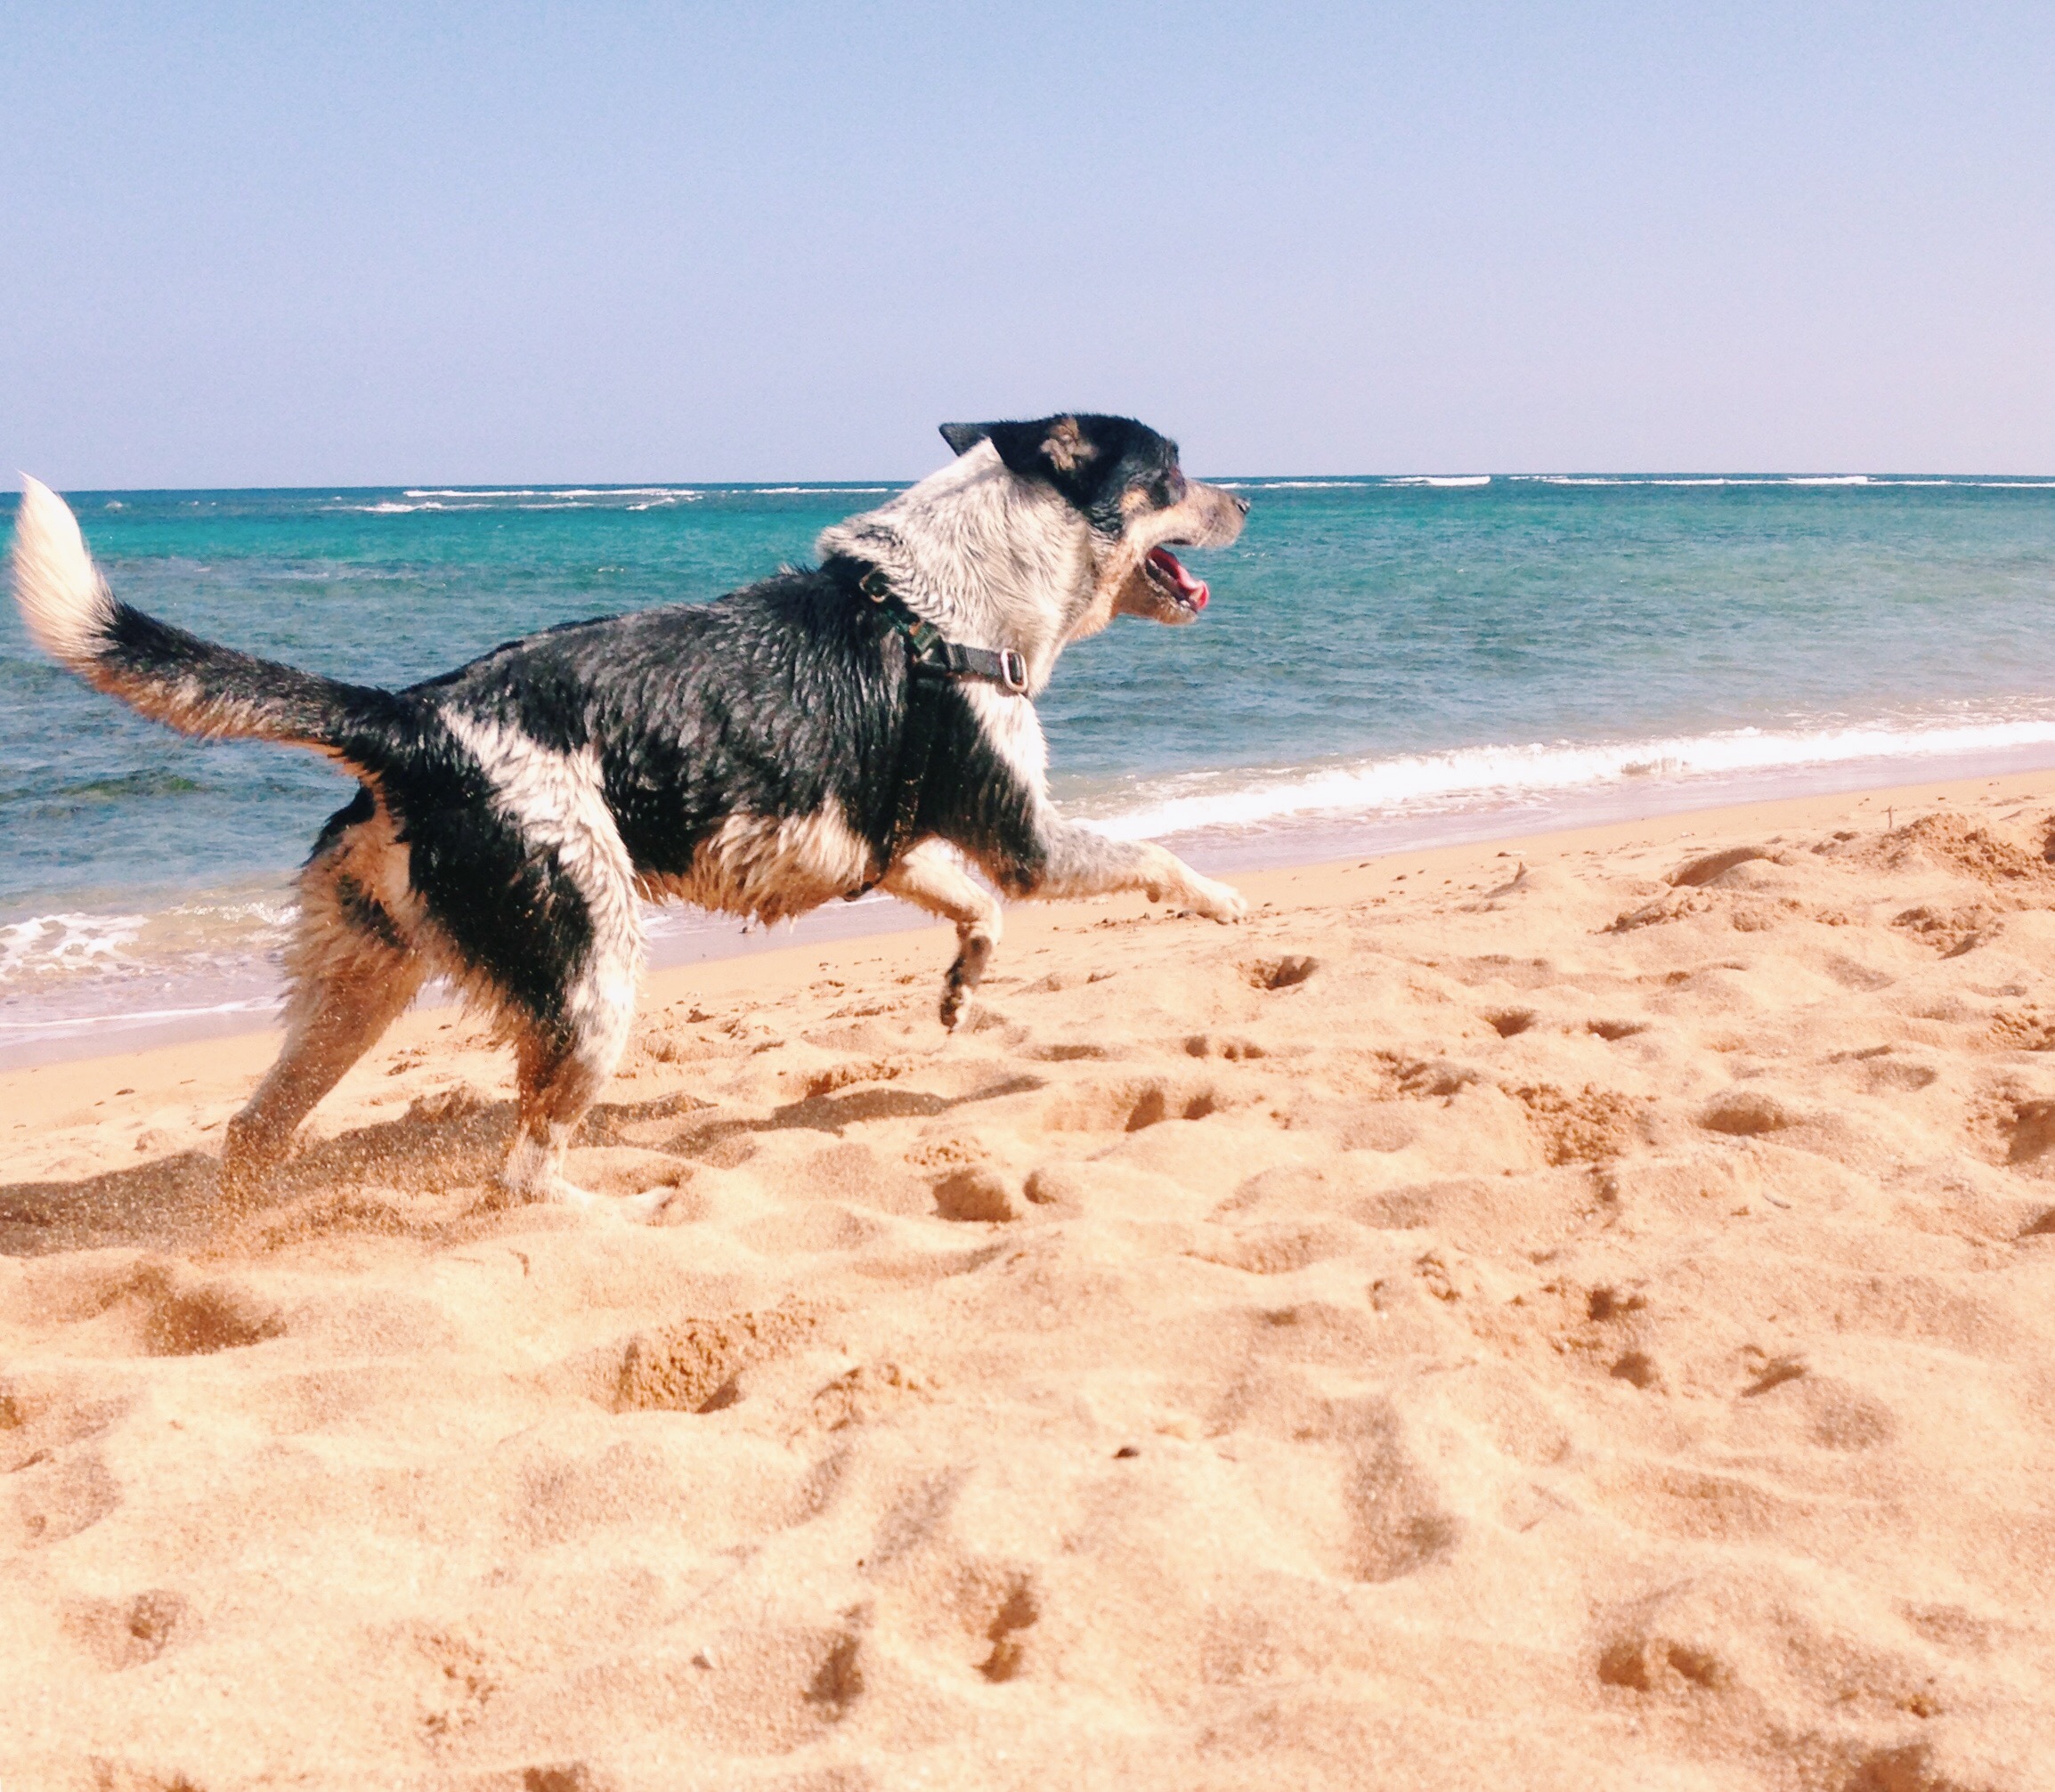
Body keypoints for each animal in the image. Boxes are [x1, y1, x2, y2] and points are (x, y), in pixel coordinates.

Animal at [12, 415, 1249, 1200]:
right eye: (1177, 468)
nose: (1248, 498)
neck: (945, 597)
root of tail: (413, 722)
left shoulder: (888, 847)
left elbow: (974, 911)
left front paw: (958, 993)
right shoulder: (1024, 836)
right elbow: (1146, 859)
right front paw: (1228, 904)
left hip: (359, 984)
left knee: (252, 1129)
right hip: (590, 972)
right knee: (519, 1176)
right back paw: (603, 1210)